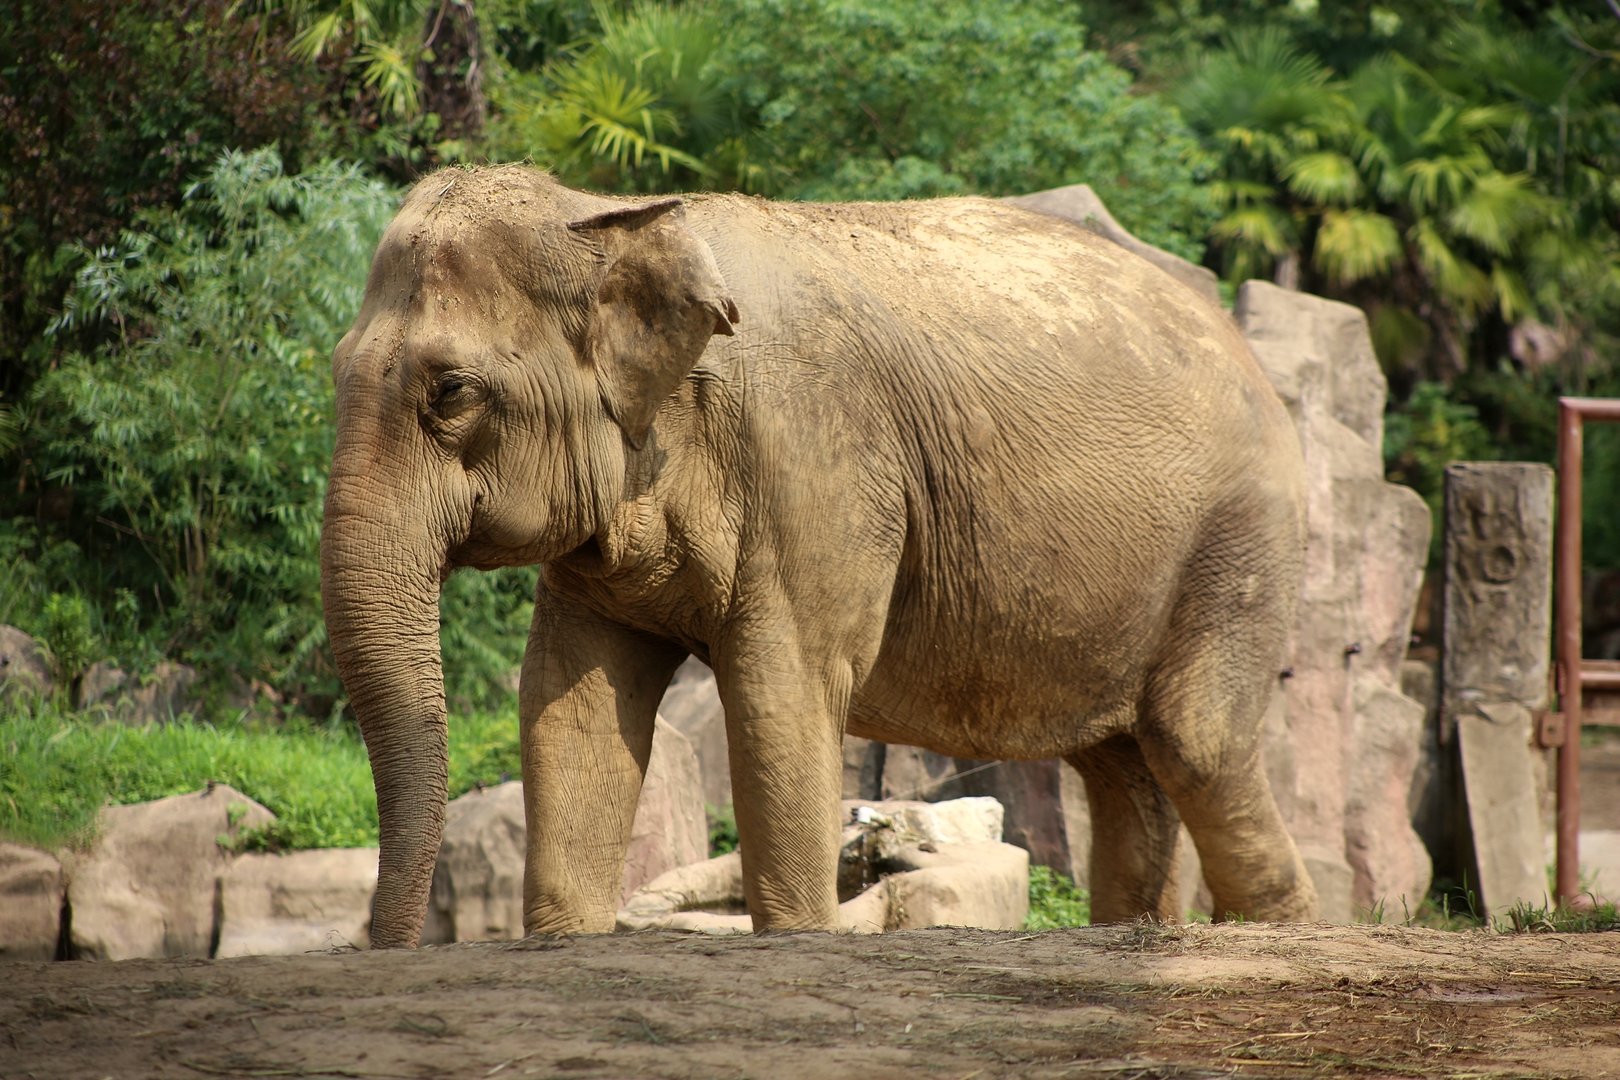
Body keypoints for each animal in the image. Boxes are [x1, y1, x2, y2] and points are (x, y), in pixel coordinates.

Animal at [320, 164, 1320, 948]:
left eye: (451, 392)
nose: (388, 949)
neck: (609, 213)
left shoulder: (814, 462)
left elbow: (783, 688)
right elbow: (572, 696)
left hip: (1240, 537)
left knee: (1196, 742)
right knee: (1123, 771)